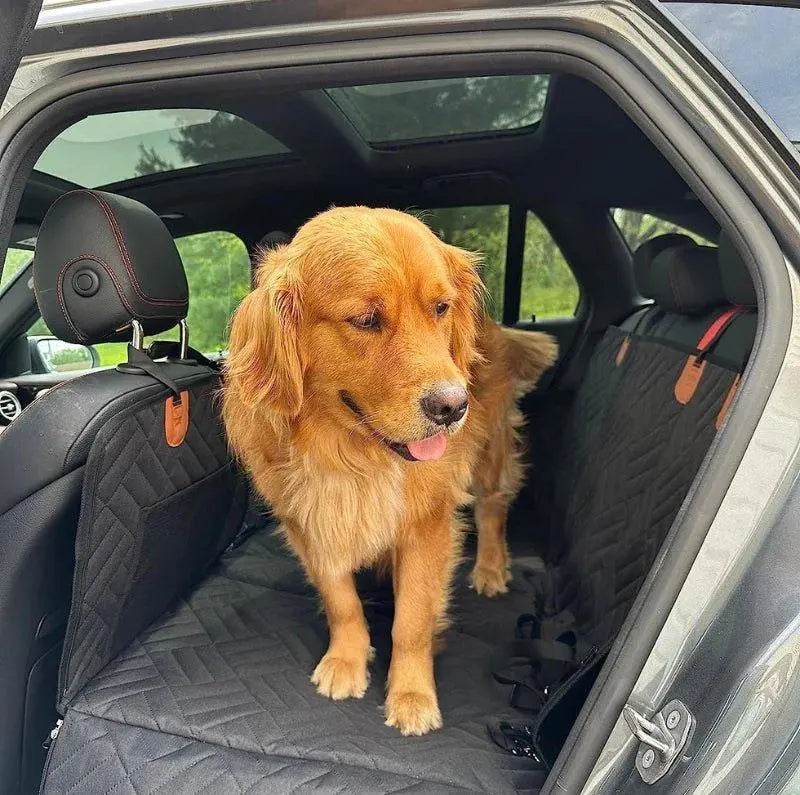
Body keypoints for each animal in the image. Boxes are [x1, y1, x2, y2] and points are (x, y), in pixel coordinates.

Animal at [219, 208, 556, 736]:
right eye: (366, 320)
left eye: (440, 308)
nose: (452, 406)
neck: (350, 454)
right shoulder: (310, 521)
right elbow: (341, 601)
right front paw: (347, 660)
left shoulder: (427, 524)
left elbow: (411, 621)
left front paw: (412, 694)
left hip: (491, 449)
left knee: (492, 508)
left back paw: (490, 567)